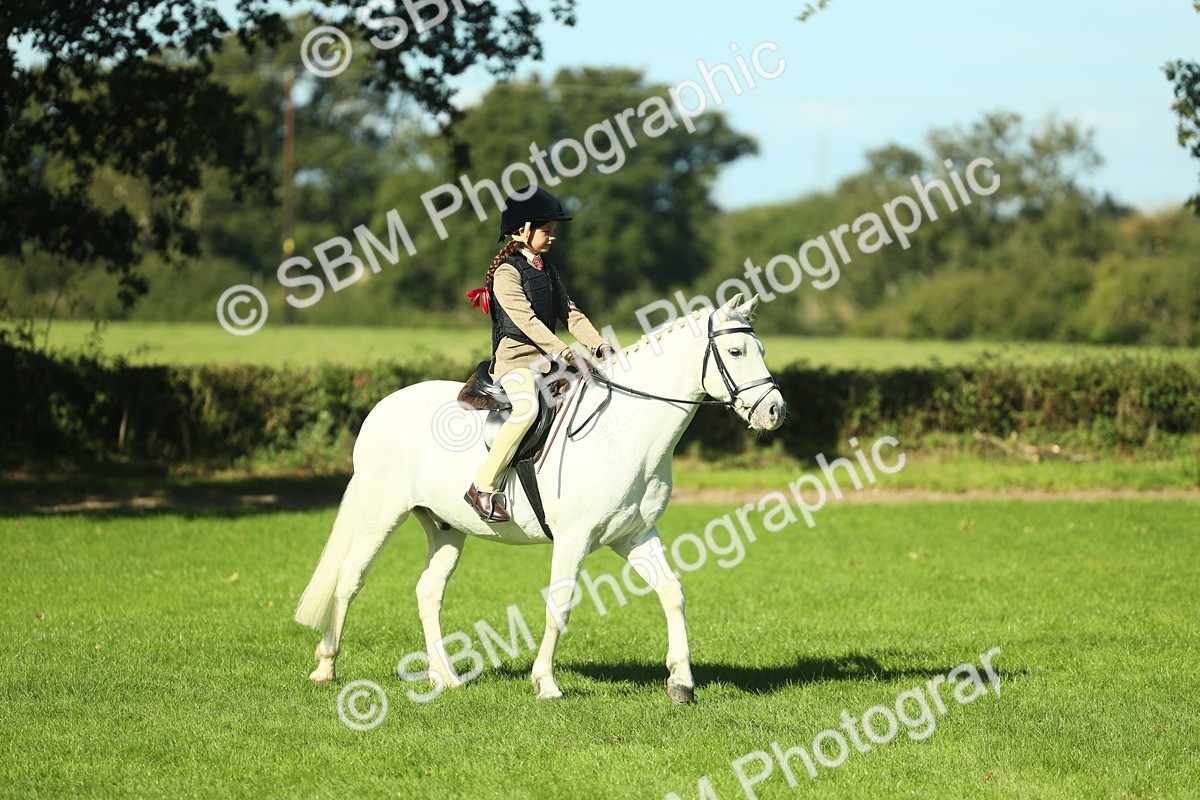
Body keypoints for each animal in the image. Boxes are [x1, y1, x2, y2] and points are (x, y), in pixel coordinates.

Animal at [293, 293, 786, 703]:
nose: (775, 411)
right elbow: (560, 605)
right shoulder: (574, 538)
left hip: (445, 526)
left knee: (428, 592)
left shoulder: (635, 535)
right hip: (380, 515)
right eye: (736, 352)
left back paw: (445, 677)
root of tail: (383, 406)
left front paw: (681, 682)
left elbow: (672, 593)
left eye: (761, 350)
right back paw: (326, 667)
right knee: (349, 581)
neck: (625, 430)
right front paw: (545, 683)